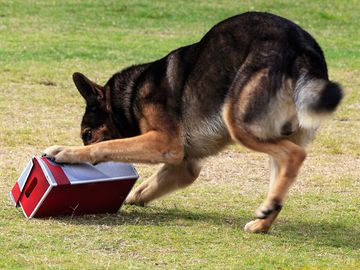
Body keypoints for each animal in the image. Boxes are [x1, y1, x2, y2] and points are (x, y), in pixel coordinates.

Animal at [43, 12, 344, 232]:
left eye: (86, 134)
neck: (129, 95)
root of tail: (303, 49)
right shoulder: (184, 165)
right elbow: (145, 187)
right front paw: (128, 198)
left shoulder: (165, 143)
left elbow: (108, 147)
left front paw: (67, 152)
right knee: (285, 166)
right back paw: (264, 219)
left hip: (239, 121)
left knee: (295, 155)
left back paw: (266, 210)